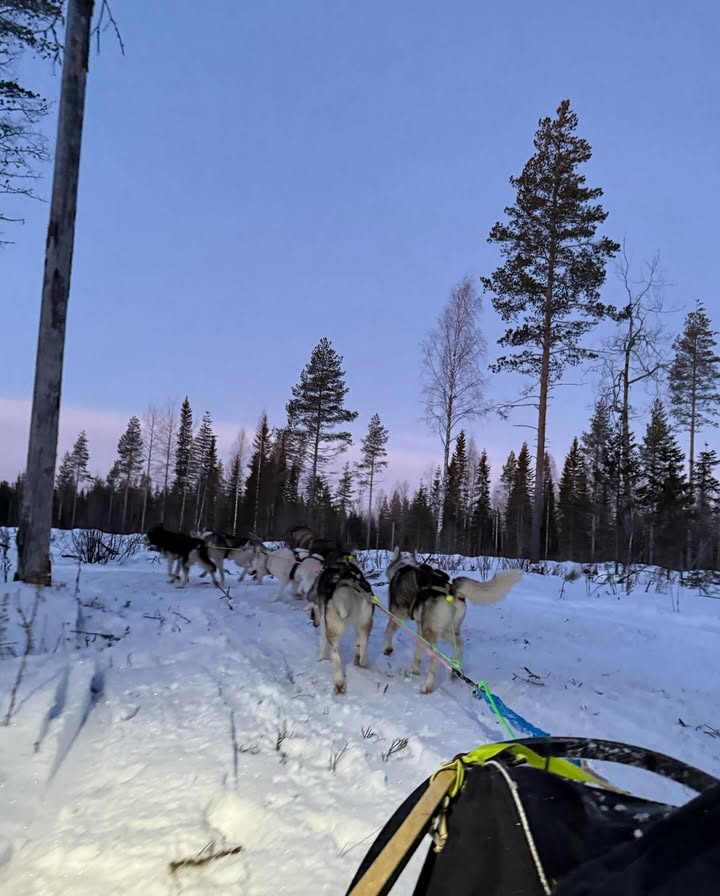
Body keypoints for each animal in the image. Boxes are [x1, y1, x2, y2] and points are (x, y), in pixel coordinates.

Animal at [306, 556, 374, 696]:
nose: (311, 618)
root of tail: (346, 583)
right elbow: (358, 643)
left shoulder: (324, 623)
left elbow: (323, 644)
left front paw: (321, 659)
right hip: (365, 624)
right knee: (364, 646)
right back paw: (362, 661)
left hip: (333, 631)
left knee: (335, 654)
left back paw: (339, 682)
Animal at [386, 544, 520, 692]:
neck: (404, 566)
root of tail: (452, 591)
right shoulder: (420, 628)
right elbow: (418, 652)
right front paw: (414, 670)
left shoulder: (396, 616)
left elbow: (388, 632)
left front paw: (387, 649)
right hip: (447, 630)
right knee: (460, 644)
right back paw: (455, 670)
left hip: (432, 634)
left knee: (437, 657)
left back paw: (428, 686)